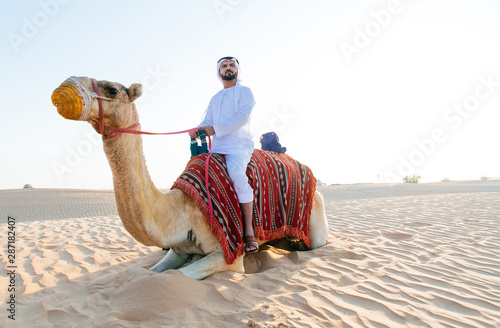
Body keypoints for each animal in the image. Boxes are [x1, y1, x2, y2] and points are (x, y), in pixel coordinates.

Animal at [50, 77, 328, 280]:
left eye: (112, 89)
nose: (64, 87)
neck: (181, 209)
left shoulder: (229, 255)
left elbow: (179, 275)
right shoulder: (176, 249)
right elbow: (149, 273)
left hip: (316, 215)